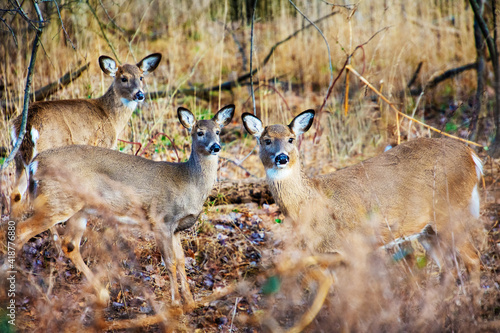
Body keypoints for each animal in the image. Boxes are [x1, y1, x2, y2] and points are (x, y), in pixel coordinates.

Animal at [10, 53, 162, 211]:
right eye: (124, 78)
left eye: (141, 77)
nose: (140, 95)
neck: (110, 117)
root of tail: (29, 123)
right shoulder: (102, 143)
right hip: (48, 150)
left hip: (19, 157)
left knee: (16, 194)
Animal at [13, 104, 236, 306]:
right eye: (199, 132)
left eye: (218, 131)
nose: (215, 147)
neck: (189, 182)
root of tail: (35, 163)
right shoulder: (161, 220)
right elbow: (170, 262)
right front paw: (175, 304)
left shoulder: (177, 228)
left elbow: (181, 262)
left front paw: (190, 301)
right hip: (58, 202)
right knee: (21, 230)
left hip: (79, 208)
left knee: (69, 244)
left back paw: (103, 294)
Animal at [242, 111, 484, 286]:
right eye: (266, 140)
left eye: (291, 139)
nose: (282, 157)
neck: (313, 204)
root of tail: (472, 156)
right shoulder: (327, 256)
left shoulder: (354, 246)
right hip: (427, 229)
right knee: (448, 267)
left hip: (451, 213)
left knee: (473, 259)